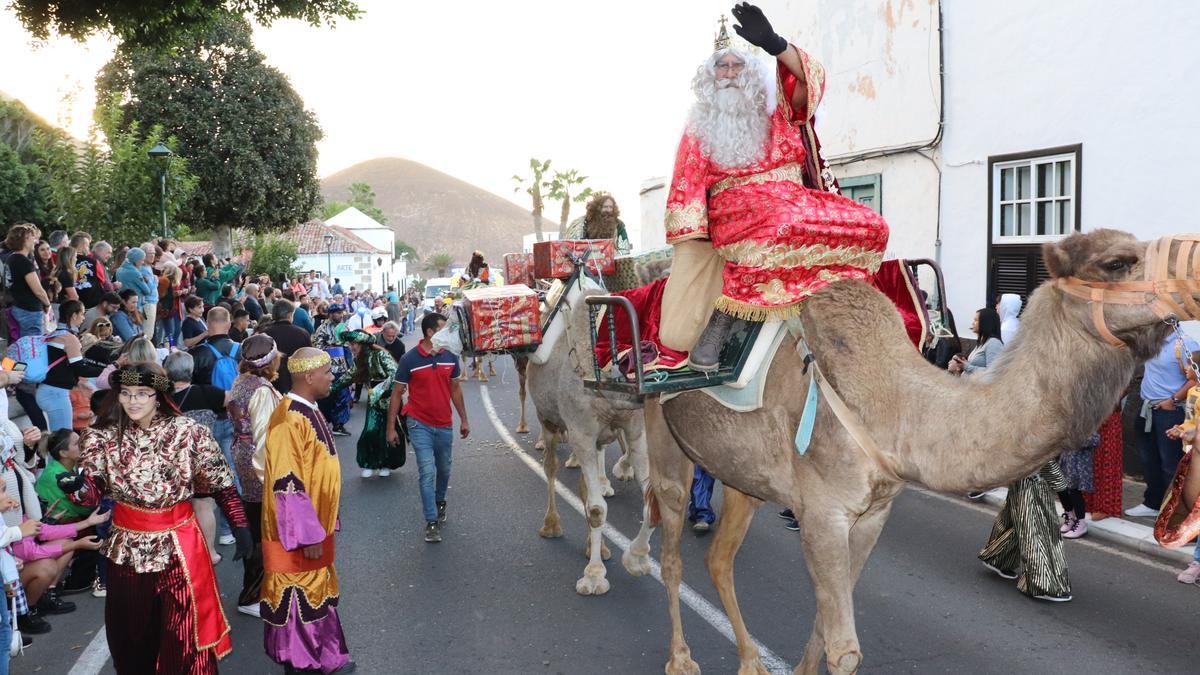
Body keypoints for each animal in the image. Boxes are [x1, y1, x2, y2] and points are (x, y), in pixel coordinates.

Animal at [528, 271, 657, 588]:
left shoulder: (634, 432)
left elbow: (651, 502)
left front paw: (636, 560)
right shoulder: (581, 433)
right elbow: (598, 509)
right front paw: (594, 576)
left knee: (586, 485)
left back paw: (597, 546)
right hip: (547, 419)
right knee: (551, 468)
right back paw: (551, 526)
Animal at [648, 228, 1200, 667]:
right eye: (1117, 262)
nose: (1194, 260)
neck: (891, 404)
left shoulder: (872, 513)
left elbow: (825, 626)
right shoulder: (822, 513)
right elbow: (843, 649)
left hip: (745, 474)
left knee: (719, 556)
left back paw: (750, 663)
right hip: (660, 432)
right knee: (667, 543)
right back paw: (677, 654)